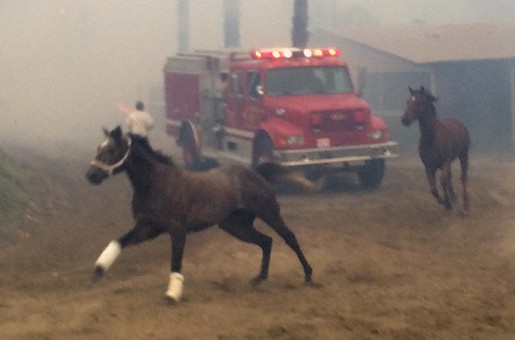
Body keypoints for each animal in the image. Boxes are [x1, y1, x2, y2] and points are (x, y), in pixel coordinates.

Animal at [85, 126, 314, 304]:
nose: (91, 175)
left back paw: (308, 275)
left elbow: (176, 261)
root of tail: (256, 173)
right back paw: (259, 279)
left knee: (289, 238)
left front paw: (172, 295)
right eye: (98, 148)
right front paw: (98, 270)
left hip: (269, 212)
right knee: (266, 241)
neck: (156, 184)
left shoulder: (177, 229)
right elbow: (119, 241)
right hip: (236, 226)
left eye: (112, 150)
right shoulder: (148, 228)